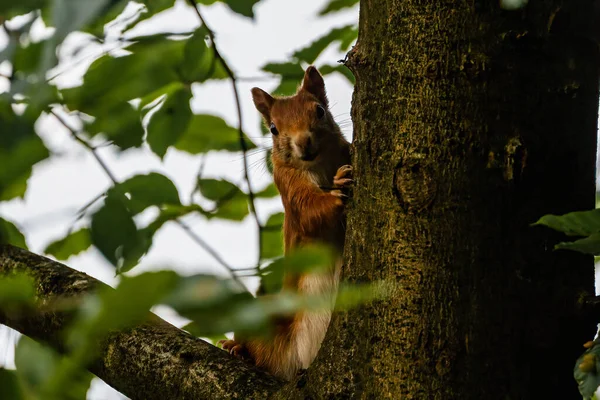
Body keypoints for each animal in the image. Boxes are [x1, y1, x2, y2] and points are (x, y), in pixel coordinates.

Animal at [219, 66, 352, 382]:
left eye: (319, 111)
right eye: (273, 129)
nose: (304, 143)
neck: (319, 164)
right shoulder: (287, 185)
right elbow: (309, 212)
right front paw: (339, 188)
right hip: (263, 315)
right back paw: (238, 349)